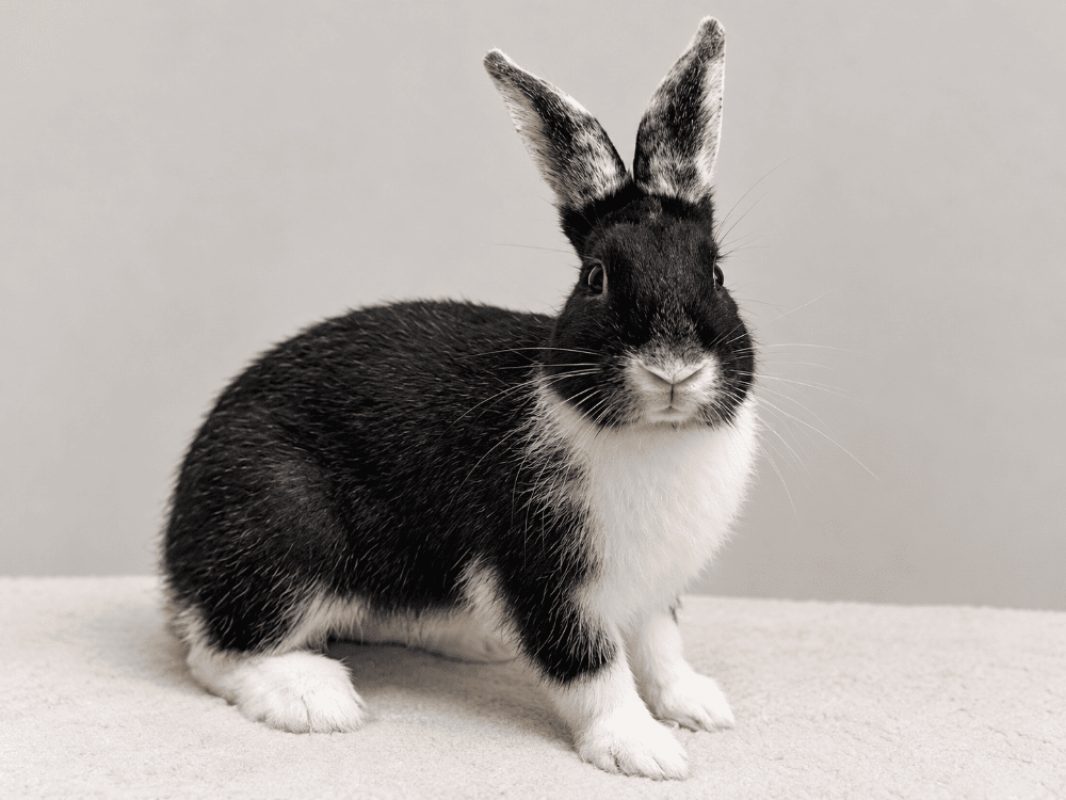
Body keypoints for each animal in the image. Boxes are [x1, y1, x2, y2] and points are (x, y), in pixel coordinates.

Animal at [163, 17, 758, 780]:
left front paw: (697, 707)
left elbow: (661, 647)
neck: (655, 437)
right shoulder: (543, 576)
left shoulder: (651, 589)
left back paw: (479, 643)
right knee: (216, 651)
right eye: (595, 279)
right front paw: (643, 750)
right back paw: (310, 698)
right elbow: (590, 668)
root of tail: (176, 549)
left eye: (716, 273)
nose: (674, 370)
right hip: (287, 538)